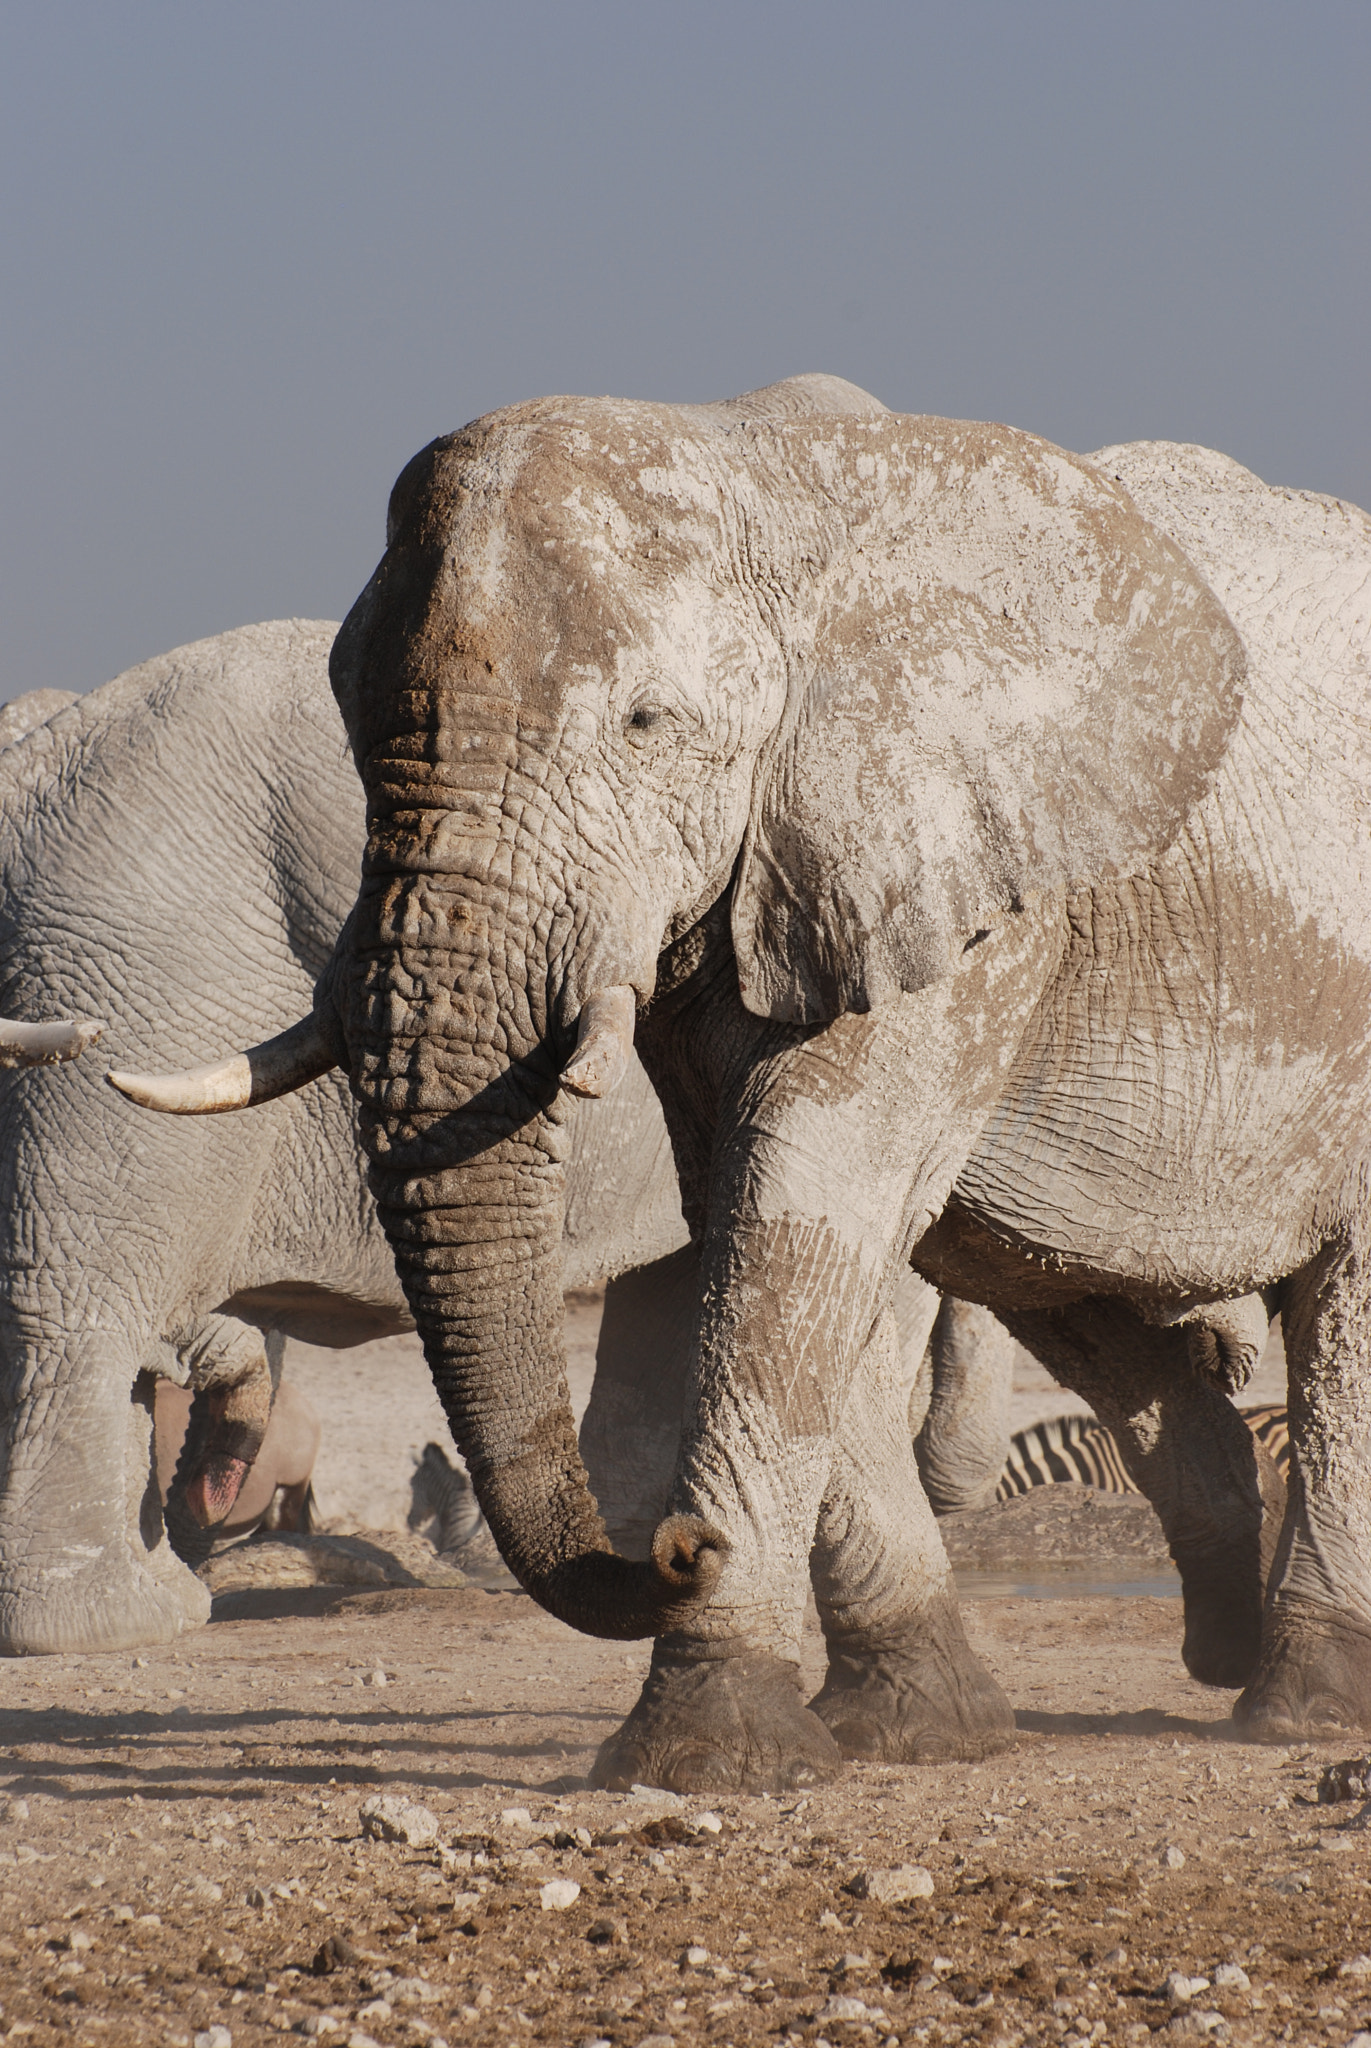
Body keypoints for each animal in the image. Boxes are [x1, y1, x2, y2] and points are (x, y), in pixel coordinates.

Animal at [119, 371, 1371, 1788]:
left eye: (647, 724)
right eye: (349, 716)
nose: (675, 1545)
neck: (750, 467)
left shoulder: (959, 887)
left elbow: (796, 1215)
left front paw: (705, 1754)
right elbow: (761, 1212)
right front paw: (906, 1730)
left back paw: (1307, 1700)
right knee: (1057, 1287)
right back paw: (1224, 1631)